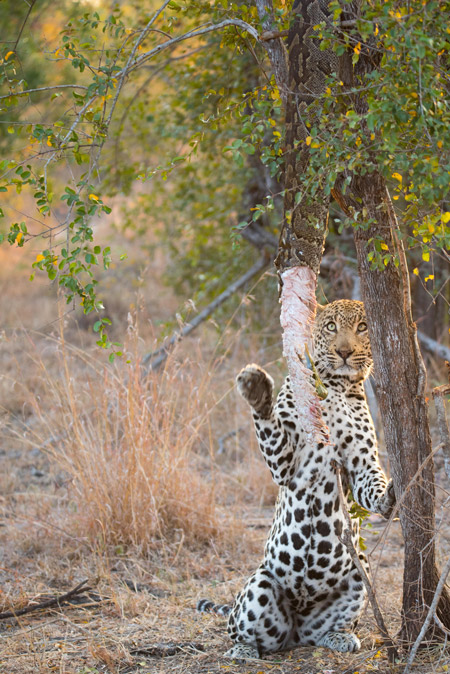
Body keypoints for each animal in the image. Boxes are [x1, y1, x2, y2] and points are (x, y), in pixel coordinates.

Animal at [199, 298, 396, 656]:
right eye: (331, 326)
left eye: (362, 327)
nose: (344, 352)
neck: (337, 388)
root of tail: (296, 624)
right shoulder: (287, 463)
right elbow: (270, 427)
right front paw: (257, 390)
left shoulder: (361, 461)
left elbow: (371, 482)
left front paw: (389, 496)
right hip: (261, 583)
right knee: (241, 631)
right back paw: (243, 651)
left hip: (360, 569)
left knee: (322, 630)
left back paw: (340, 636)